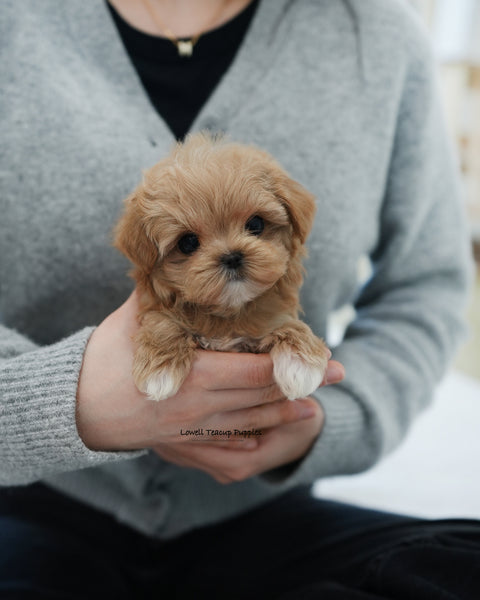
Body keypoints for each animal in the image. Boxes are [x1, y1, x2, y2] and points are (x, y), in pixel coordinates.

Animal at [114, 134, 330, 400]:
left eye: (256, 224)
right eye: (187, 243)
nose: (232, 257)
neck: (228, 313)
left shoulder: (272, 315)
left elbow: (287, 323)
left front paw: (301, 363)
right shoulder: (155, 305)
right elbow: (162, 321)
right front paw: (159, 370)